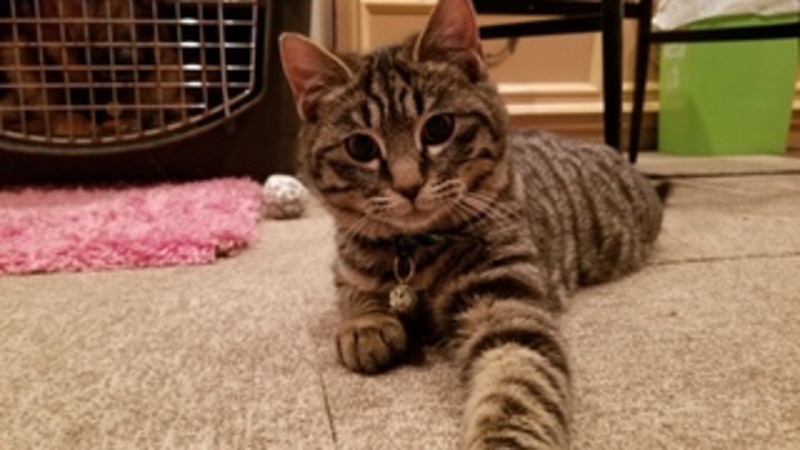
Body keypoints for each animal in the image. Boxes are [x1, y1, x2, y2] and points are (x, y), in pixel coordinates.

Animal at [279, 0, 667, 447]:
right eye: (360, 146)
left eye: (438, 127)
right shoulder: (345, 261)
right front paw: (366, 324)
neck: (412, 252)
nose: (409, 186)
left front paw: (502, 440)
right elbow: (354, 291)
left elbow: (517, 380)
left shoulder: (504, 301)